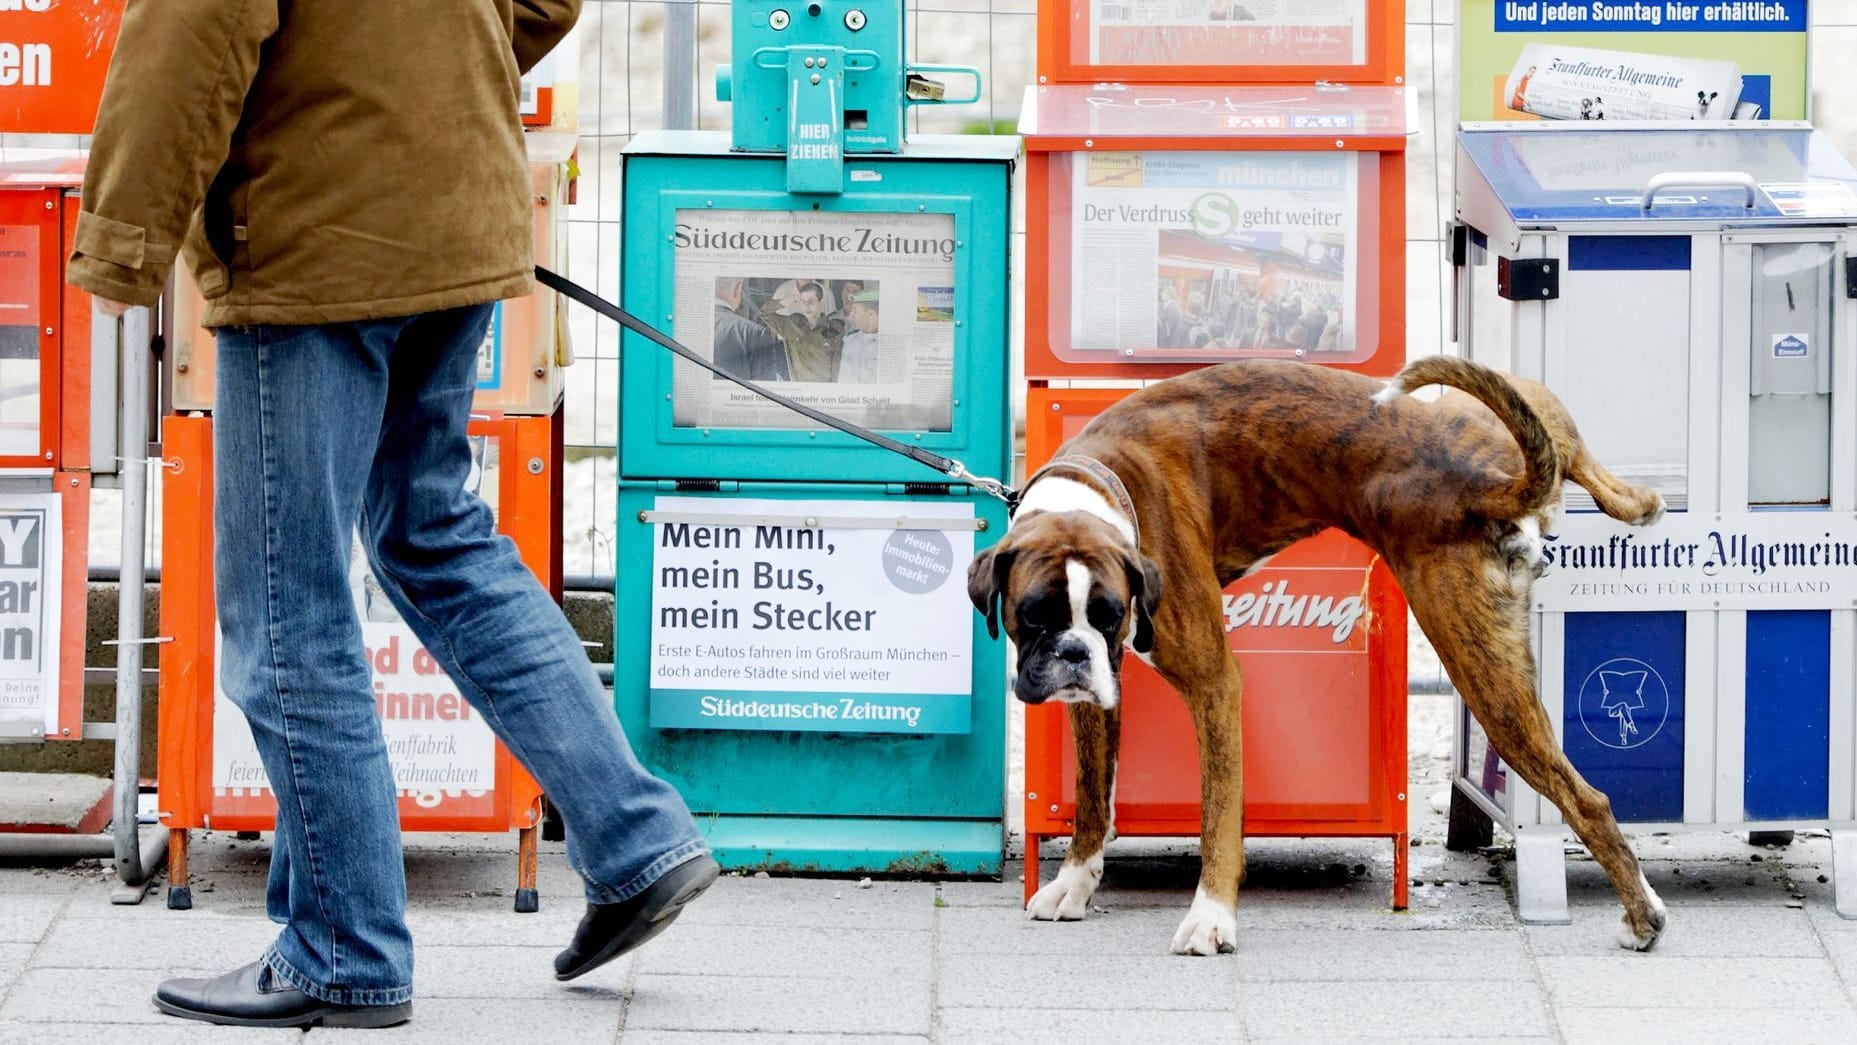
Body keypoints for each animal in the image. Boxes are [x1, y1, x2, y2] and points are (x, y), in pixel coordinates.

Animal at [973, 358, 1671, 957]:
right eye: (1033, 614)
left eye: (1109, 612)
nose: (1072, 653)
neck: (1103, 483)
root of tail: (1491, 484)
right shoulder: (1095, 697)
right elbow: (1093, 794)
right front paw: (1075, 883)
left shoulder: (1214, 685)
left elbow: (1217, 811)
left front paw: (1211, 917)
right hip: (1484, 429)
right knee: (1558, 434)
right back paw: (1637, 501)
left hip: (1485, 678)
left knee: (1587, 798)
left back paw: (1642, 917)